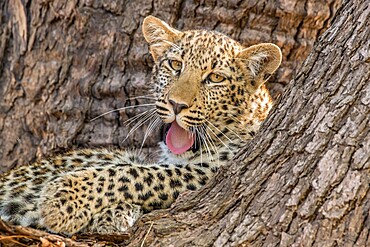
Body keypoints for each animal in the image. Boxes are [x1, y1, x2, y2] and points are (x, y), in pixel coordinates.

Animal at [0, 15, 280, 235]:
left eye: (216, 78)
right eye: (175, 65)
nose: (177, 104)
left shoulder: (210, 172)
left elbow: (134, 175)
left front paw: (64, 201)